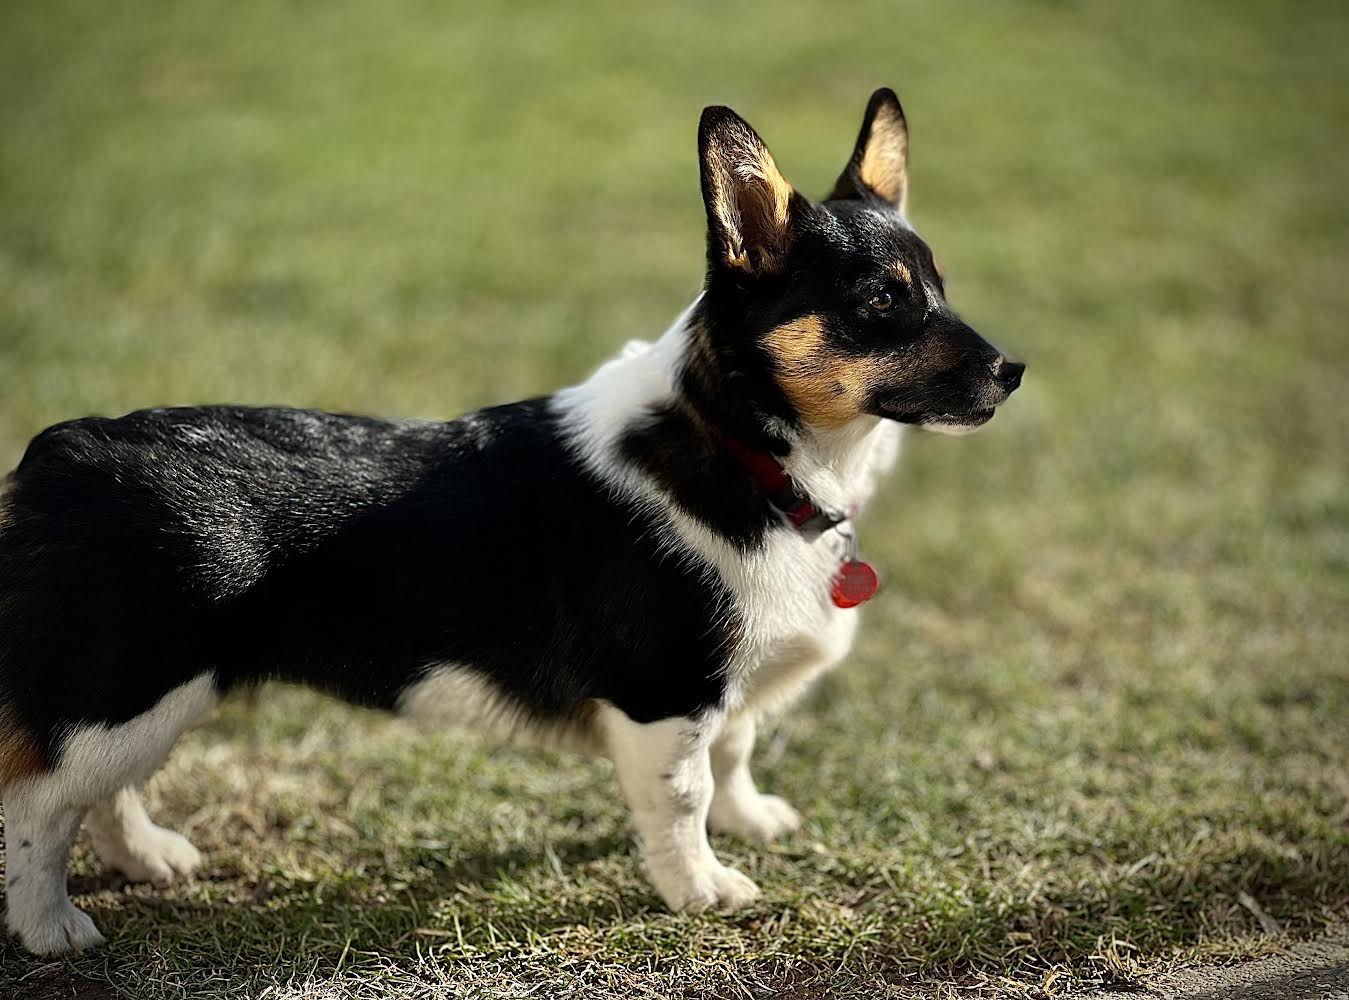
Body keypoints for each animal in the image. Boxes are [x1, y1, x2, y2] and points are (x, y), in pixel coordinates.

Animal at [0, 88, 1023, 955]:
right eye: (882, 300)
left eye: (938, 286)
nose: (1013, 372)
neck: (745, 443)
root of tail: (60, 452)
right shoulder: (667, 694)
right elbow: (683, 798)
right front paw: (703, 888)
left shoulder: (721, 686)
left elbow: (735, 752)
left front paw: (754, 821)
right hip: (123, 693)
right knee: (39, 806)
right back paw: (51, 928)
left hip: (147, 701)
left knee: (101, 794)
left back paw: (149, 859)